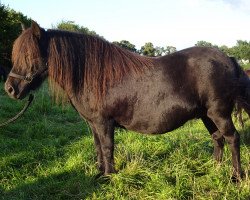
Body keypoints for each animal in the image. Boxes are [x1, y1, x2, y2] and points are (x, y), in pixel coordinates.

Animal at [3, 21, 250, 181]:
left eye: (29, 56)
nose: (10, 89)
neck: (92, 75)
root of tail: (229, 59)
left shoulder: (104, 122)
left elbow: (107, 147)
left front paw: (109, 176)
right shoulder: (93, 124)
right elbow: (97, 147)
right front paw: (99, 172)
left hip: (219, 113)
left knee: (232, 138)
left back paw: (236, 176)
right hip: (206, 115)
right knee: (217, 138)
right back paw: (214, 168)